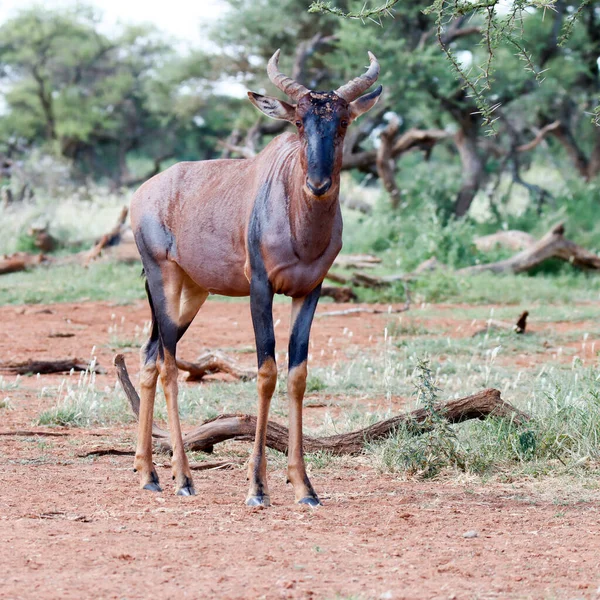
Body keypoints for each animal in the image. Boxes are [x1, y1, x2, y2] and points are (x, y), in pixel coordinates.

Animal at [131, 50, 382, 506]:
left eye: (342, 121)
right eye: (298, 122)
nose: (318, 184)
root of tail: (145, 192)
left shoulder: (310, 290)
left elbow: (298, 375)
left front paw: (304, 487)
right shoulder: (261, 288)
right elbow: (267, 373)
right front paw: (257, 488)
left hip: (193, 292)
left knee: (149, 356)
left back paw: (149, 473)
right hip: (162, 277)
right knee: (169, 364)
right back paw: (183, 479)